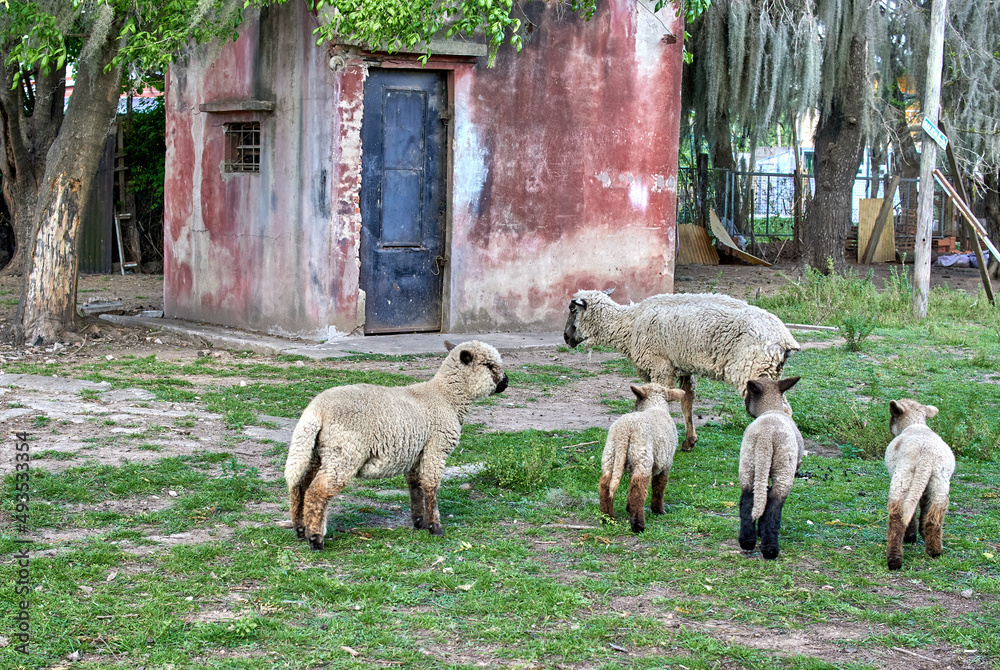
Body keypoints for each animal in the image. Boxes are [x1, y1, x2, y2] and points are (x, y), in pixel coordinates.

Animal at [284, 341, 508, 550]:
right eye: (488, 365)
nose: (506, 382)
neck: (447, 397)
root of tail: (316, 411)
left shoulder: (416, 453)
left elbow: (416, 486)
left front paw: (419, 522)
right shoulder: (436, 447)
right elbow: (431, 487)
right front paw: (435, 527)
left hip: (315, 451)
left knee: (300, 486)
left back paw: (301, 529)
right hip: (344, 452)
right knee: (317, 491)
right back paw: (315, 539)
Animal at [564, 288, 800, 451]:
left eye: (573, 310)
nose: (566, 338)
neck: (628, 324)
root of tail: (785, 341)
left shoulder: (659, 365)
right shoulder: (684, 367)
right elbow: (687, 403)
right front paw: (689, 441)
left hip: (752, 369)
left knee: (779, 409)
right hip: (769, 371)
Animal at [599, 383, 686, 532]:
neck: (655, 406)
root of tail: (625, 431)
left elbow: (630, 485)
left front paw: (628, 507)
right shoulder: (666, 463)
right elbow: (659, 486)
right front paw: (658, 510)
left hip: (610, 455)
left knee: (606, 484)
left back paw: (607, 518)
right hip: (642, 457)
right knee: (638, 491)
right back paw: (638, 525)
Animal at [738, 376, 803, 560]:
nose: (746, 406)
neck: (772, 409)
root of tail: (765, 437)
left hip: (748, 462)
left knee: (748, 501)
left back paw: (747, 542)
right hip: (783, 467)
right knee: (774, 504)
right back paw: (770, 550)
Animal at [884, 399, 955, 571]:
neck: (916, 424)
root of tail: (926, 458)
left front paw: (911, 536)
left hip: (902, 476)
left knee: (897, 517)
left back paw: (894, 560)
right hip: (940, 480)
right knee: (934, 516)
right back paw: (935, 551)